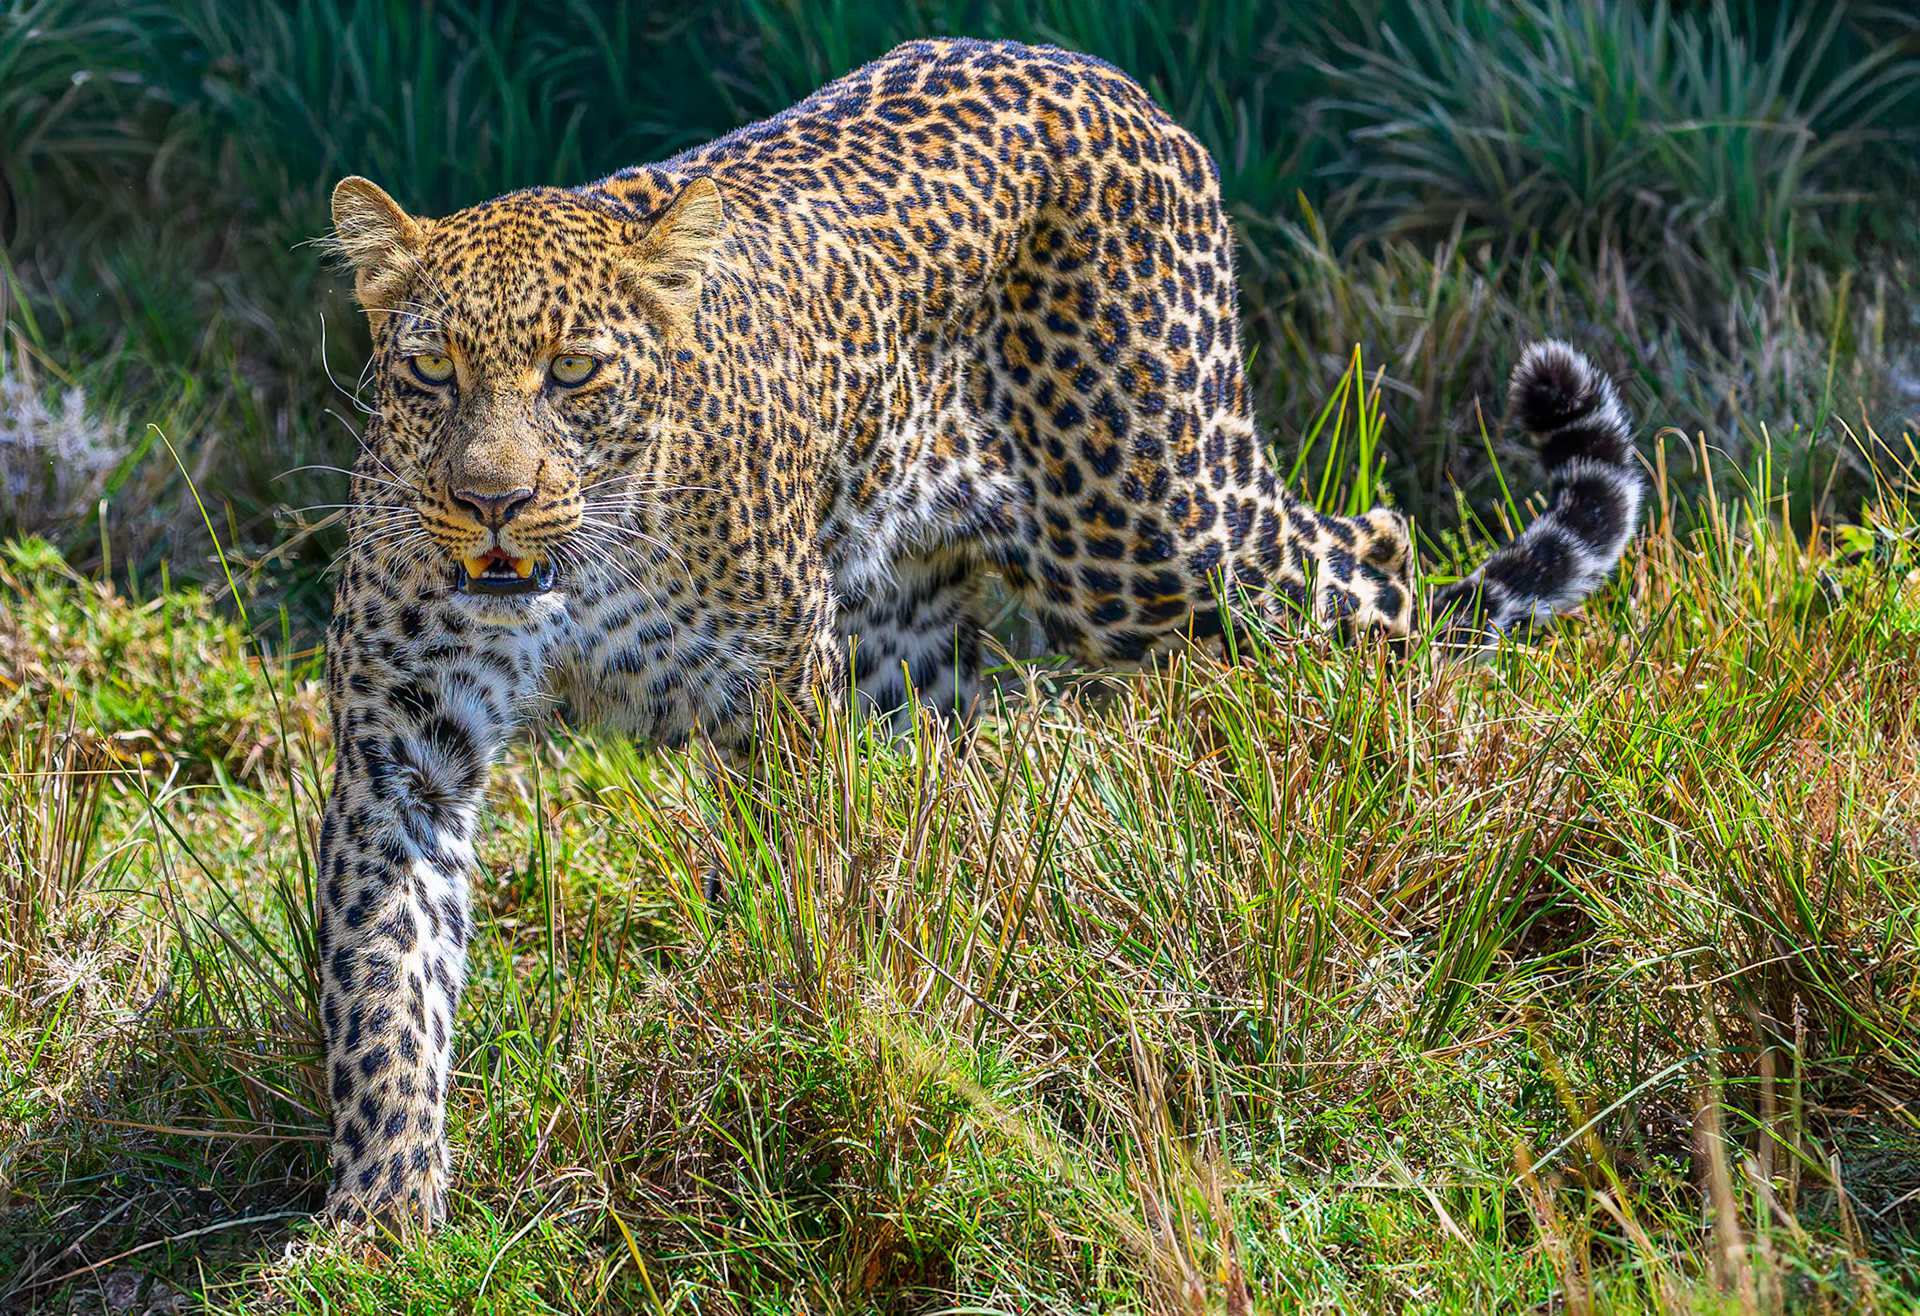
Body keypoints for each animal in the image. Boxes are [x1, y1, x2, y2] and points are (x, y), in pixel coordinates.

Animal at [316, 37, 1643, 1226]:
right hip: (915, 634)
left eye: (575, 371)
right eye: (430, 371)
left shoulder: (780, 697)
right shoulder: (402, 749)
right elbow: (385, 990)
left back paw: (1393, 761)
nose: (490, 498)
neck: (572, 574)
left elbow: (803, 888)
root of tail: (1109, 79)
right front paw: (379, 1220)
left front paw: (800, 1032)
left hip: (1155, 536)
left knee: (1376, 555)